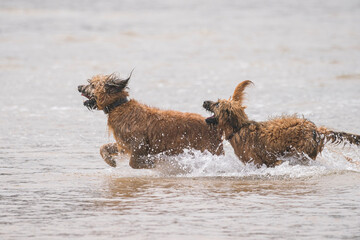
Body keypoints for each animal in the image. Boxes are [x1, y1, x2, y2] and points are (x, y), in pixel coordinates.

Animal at [78, 73, 224, 169]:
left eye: (92, 85)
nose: (79, 86)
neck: (118, 105)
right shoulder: (124, 144)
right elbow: (103, 147)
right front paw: (110, 161)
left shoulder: (139, 144)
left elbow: (133, 162)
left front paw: (152, 163)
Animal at [204, 80, 358, 167]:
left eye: (217, 104)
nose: (204, 101)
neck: (238, 128)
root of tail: (317, 130)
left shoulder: (257, 162)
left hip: (300, 152)